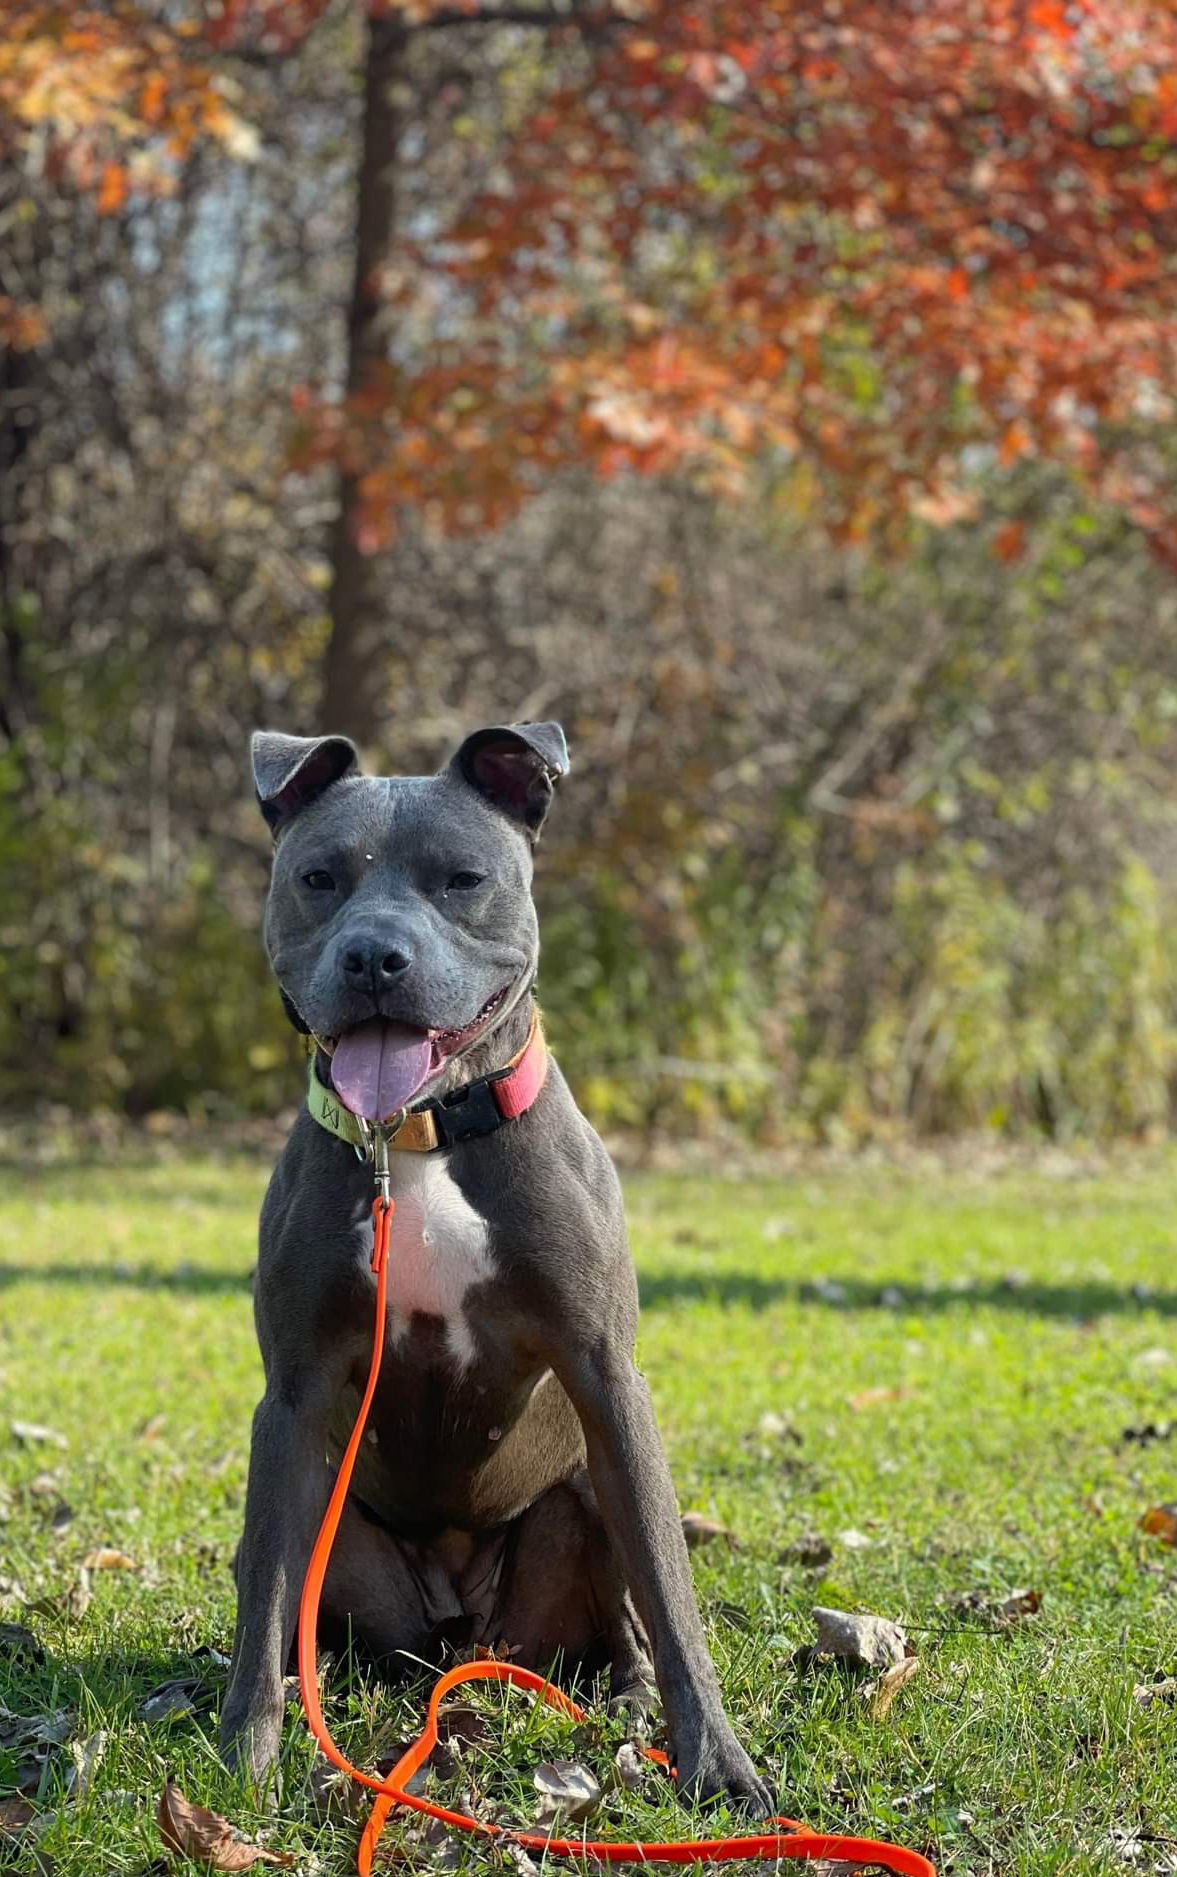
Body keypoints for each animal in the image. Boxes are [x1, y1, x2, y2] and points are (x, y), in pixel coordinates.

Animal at [219, 713, 773, 1801]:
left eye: (461, 878)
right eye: (319, 877)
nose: (374, 957)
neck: (422, 1134)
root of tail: (463, 1631)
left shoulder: (607, 1378)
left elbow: (676, 1601)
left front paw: (719, 1764)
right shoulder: (293, 1398)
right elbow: (264, 1599)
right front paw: (245, 1754)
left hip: (587, 1487)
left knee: (630, 1623)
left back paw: (627, 1709)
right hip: (332, 1509)